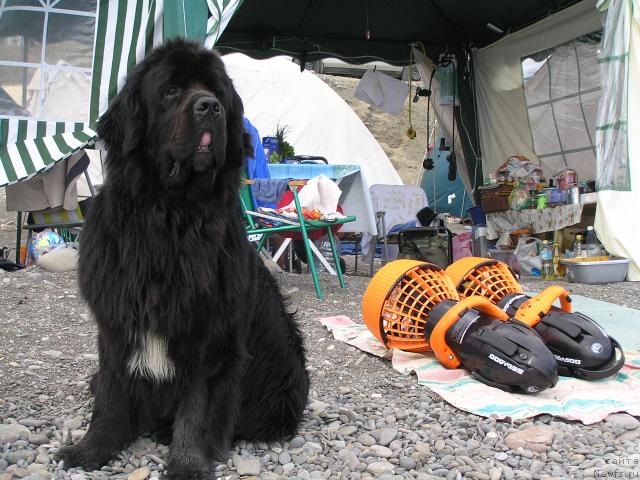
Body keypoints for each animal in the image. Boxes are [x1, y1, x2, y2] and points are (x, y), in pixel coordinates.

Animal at [58, 39, 308, 478]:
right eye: (171, 91)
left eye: (217, 91)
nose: (210, 106)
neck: (170, 216)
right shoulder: (116, 323)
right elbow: (110, 394)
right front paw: (91, 450)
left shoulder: (210, 336)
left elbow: (197, 408)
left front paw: (188, 464)